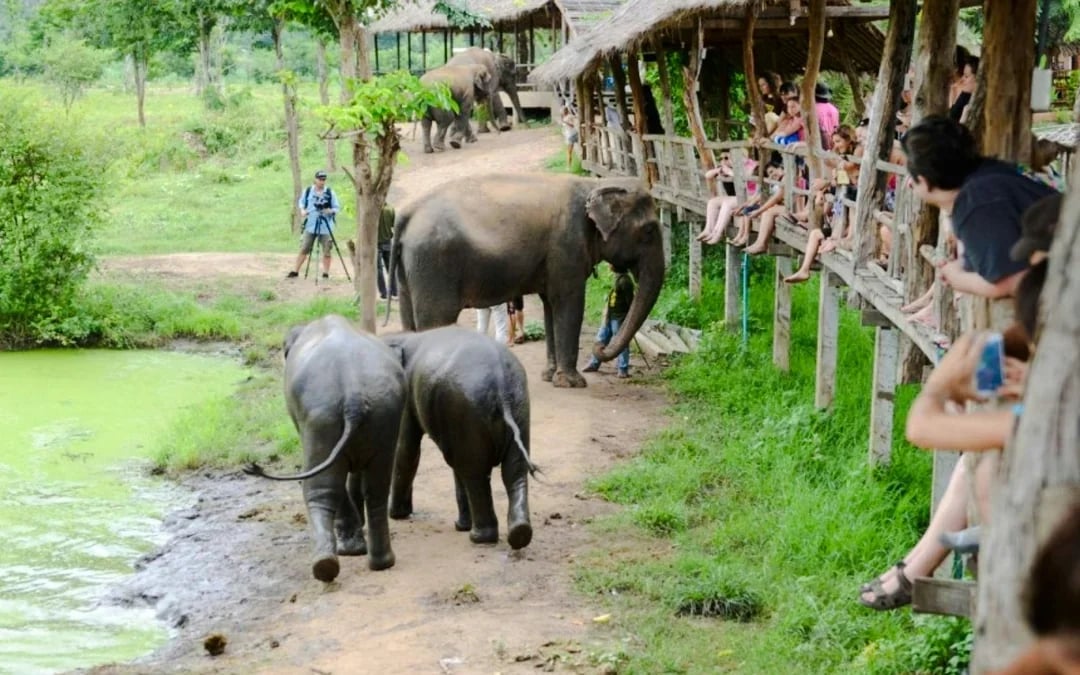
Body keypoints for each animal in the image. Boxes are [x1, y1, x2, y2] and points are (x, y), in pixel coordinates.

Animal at [244, 315, 406, 582]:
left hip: (322, 418)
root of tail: (353, 396)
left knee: (321, 488)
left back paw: (327, 564)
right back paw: (381, 562)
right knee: (377, 487)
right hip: (384, 413)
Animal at [382, 326, 537, 549]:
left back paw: (479, 538)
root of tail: (501, 384)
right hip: (518, 405)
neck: (403, 337)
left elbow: (406, 450)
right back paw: (519, 534)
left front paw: (395, 515)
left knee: (474, 473)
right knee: (513, 470)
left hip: (469, 408)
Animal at [386, 174, 664, 388]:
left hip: (411, 268)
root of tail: (407, 214)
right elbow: (569, 303)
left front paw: (549, 376)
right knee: (436, 320)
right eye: (649, 230)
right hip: (433, 263)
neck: (594, 183)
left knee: (409, 320)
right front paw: (573, 383)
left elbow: (550, 306)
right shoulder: (567, 247)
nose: (598, 347)